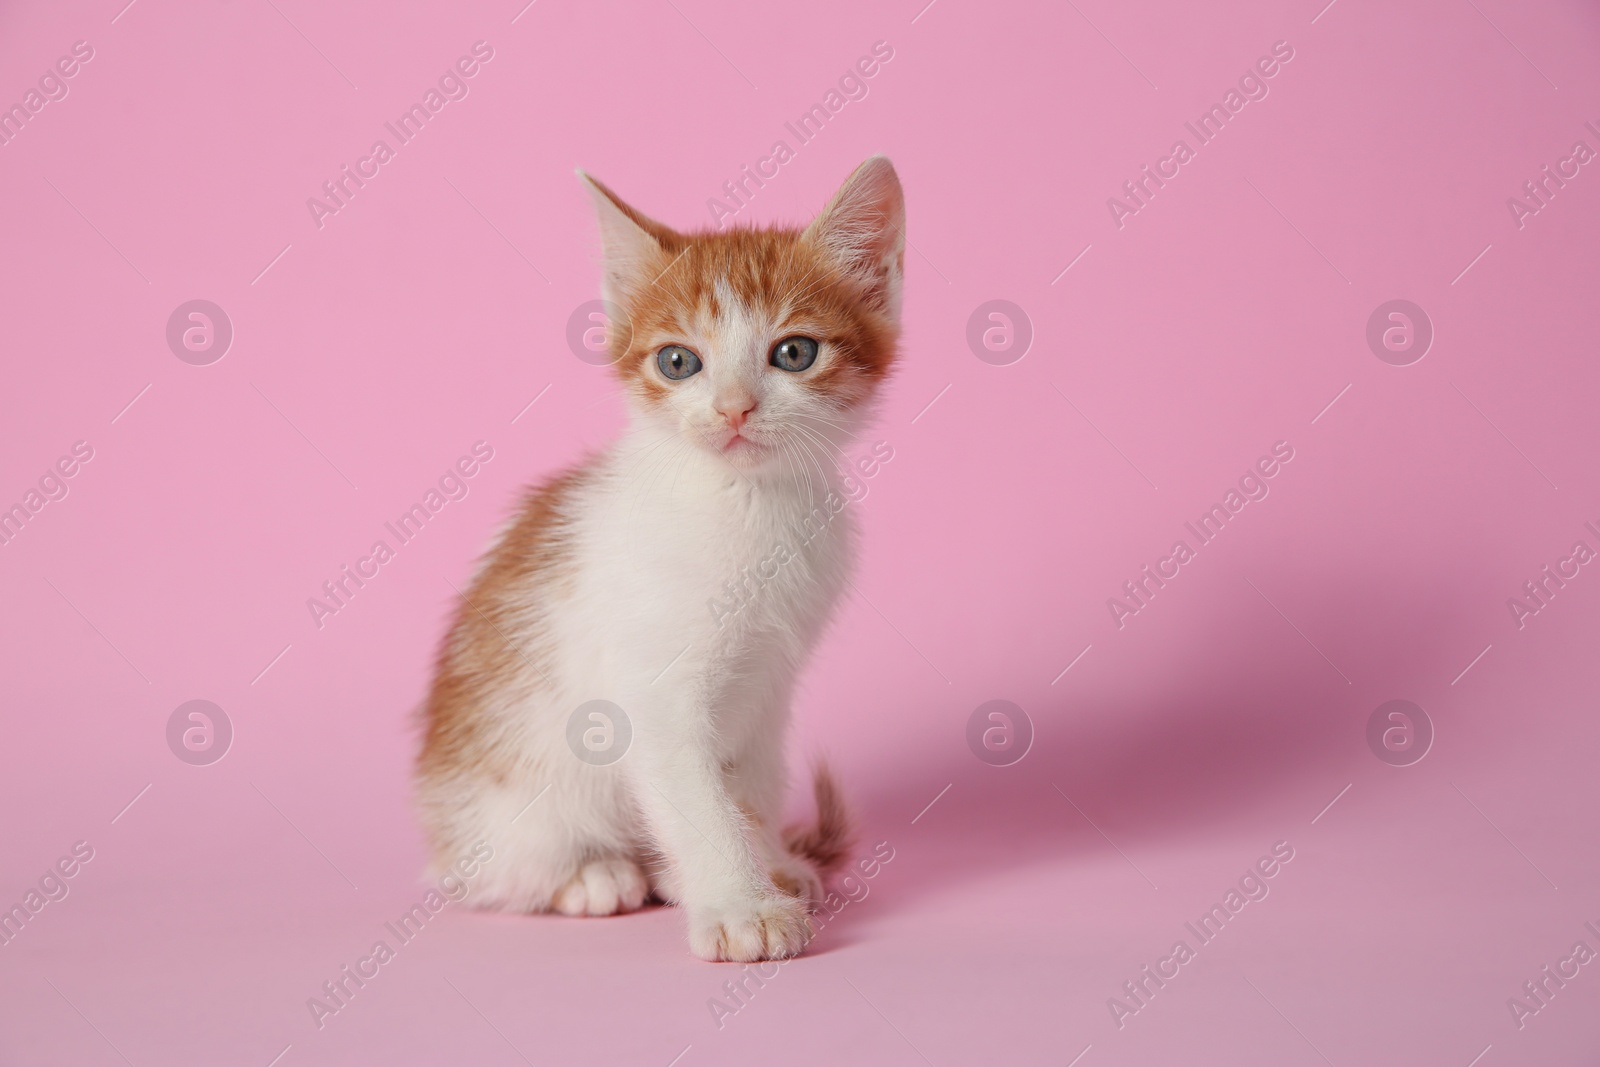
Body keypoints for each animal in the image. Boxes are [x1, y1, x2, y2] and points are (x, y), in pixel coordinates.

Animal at [419, 156, 908, 959]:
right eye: (679, 361)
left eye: (794, 352)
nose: (735, 407)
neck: (746, 505)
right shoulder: (652, 690)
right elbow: (695, 797)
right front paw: (743, 905)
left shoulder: (771, 682)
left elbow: (748, 785)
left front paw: (767, 862)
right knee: (505, 873)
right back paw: (592, 875)